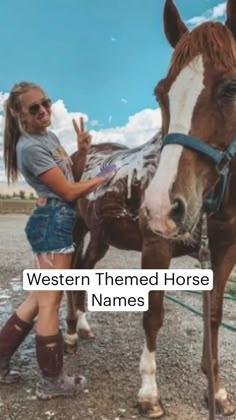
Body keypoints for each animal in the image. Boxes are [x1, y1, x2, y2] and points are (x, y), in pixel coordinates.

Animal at [65, 0, 236, 416]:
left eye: (232, 88)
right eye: (161, 94)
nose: (161, 206)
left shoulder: (224, 252)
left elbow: (214, 316)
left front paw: (217, 391)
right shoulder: (156, 246)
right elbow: (154, 315)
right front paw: (148, 392)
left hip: (101, 237)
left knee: (84, 268)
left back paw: (83, 326)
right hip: (77, 229)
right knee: (71, 271)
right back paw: (70, 333)